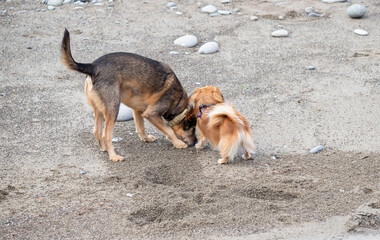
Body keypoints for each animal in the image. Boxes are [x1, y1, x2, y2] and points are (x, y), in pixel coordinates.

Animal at [60, 29, 196, 162]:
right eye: (191, 128)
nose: (195, 143)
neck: (178, 101)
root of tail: (93, 67)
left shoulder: (138, 110)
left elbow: (140, 127)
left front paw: (145, 138)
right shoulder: (151, 114)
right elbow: (169, 131)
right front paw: (178, 143)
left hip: (99, 110)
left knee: (97, 131)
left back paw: (104, 149)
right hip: (113, 109)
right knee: (106, 135)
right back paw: (114, 156)